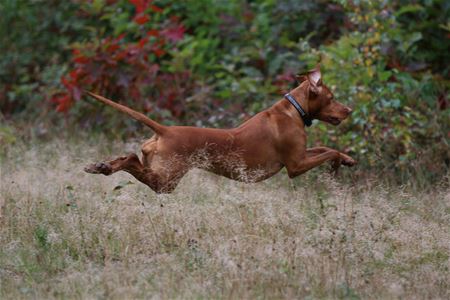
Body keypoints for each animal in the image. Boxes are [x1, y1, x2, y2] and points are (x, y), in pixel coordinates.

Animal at [86, 64, 356, 193]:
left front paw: (347, 159)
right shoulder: (296, 166)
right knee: (131, 159)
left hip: (160, 173)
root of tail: (165, 130)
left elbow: (324, 147)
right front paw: (337, 162)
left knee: (129, 158)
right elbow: (327, 151)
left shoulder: (301, 154)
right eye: (332, 98)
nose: (349, 110)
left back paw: (102, 166)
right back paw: (104, 167)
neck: (294, 110)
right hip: (166, 181)